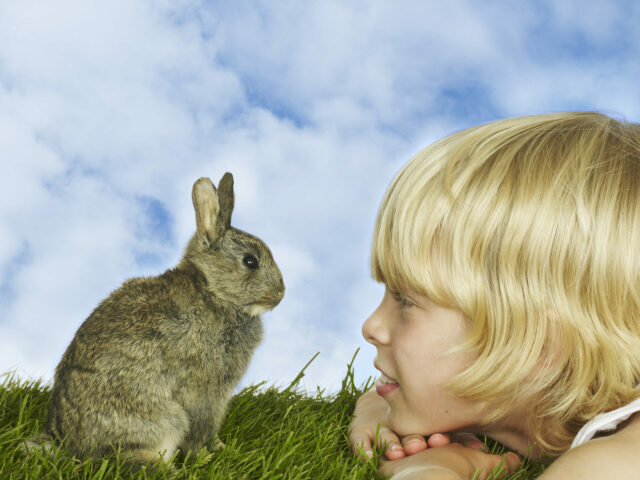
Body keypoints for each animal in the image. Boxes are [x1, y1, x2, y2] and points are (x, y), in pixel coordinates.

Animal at [45, 172, 284, 464]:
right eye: (250, 261)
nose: (280, 294)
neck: (213, 291)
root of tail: (71, 447)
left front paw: (219, 447)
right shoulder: (206, 390)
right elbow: (201, 427)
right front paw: (206, 456)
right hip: (164, 418)